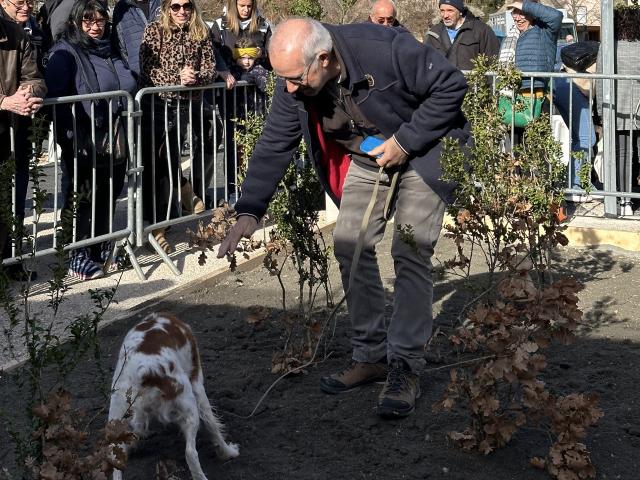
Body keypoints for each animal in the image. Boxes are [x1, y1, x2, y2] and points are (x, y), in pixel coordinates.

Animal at [109, 312, 239, 480]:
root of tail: (143, 372)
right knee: (190, 454)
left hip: (117, 419)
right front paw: (228, 452)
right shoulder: (197, 383)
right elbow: (212, 425)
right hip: (189, 405)